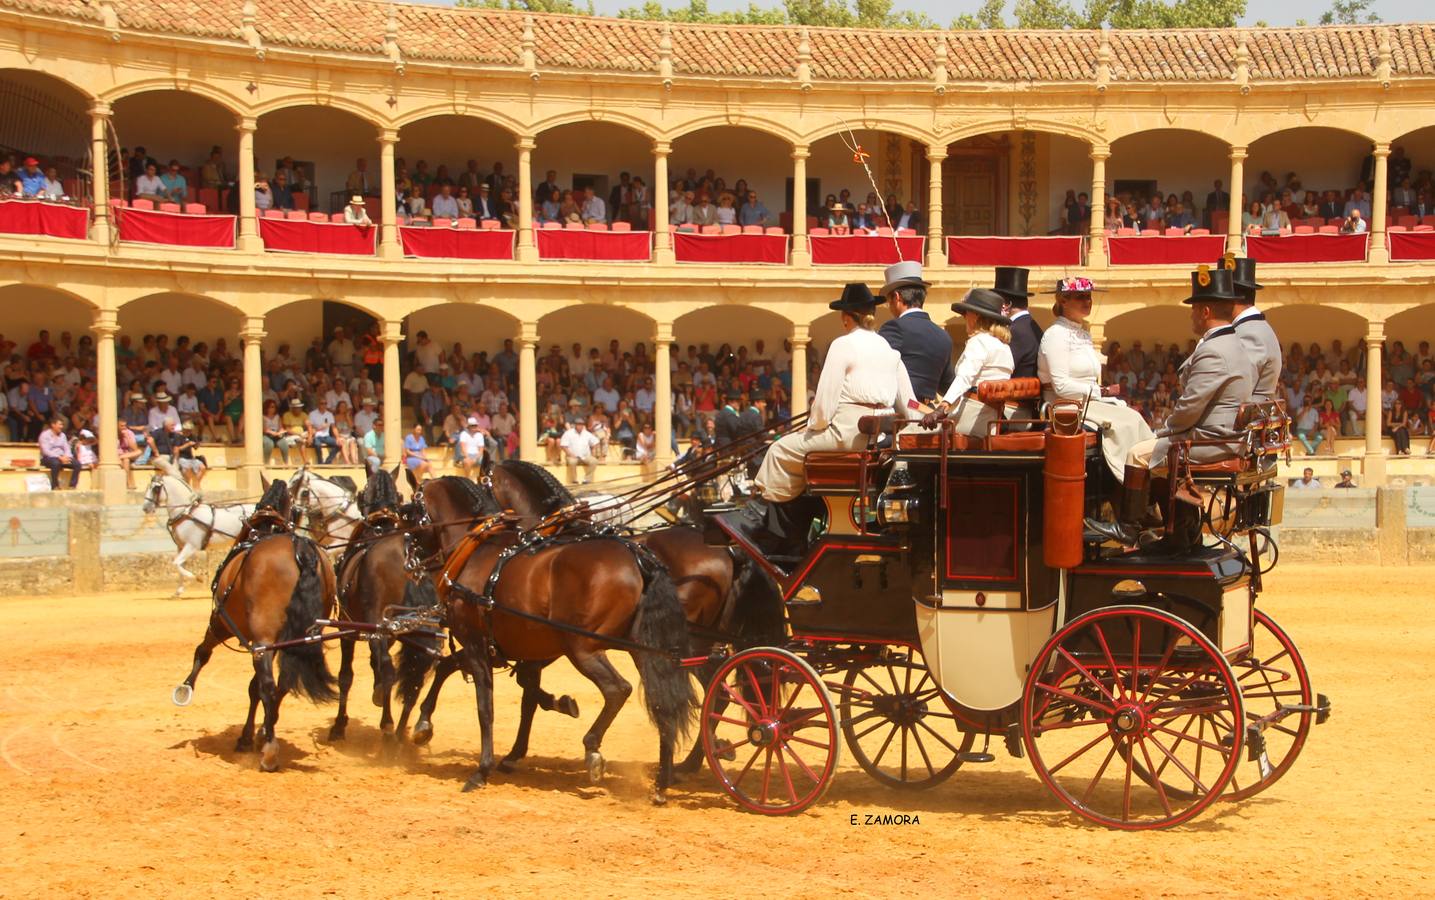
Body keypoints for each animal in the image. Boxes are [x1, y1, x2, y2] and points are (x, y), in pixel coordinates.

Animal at [142, 465, 255, 600]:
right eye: (148, 487)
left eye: (156, 488)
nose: (145, 508)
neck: (186, 513)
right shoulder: (181, 547)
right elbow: (179, 566)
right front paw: (178, 592)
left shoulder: (192, 546)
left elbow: (176, 563)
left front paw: (198, 578)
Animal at [172, 482, 337, 769]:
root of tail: (301, 552)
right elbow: (254, 688)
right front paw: (252, 733)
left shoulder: (222, 622)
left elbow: (203, 652)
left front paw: (185, 688)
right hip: (298, 639)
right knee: (281, 683)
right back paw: (266, 734)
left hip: (259, 638)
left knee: (269, 685)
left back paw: (270, 750)